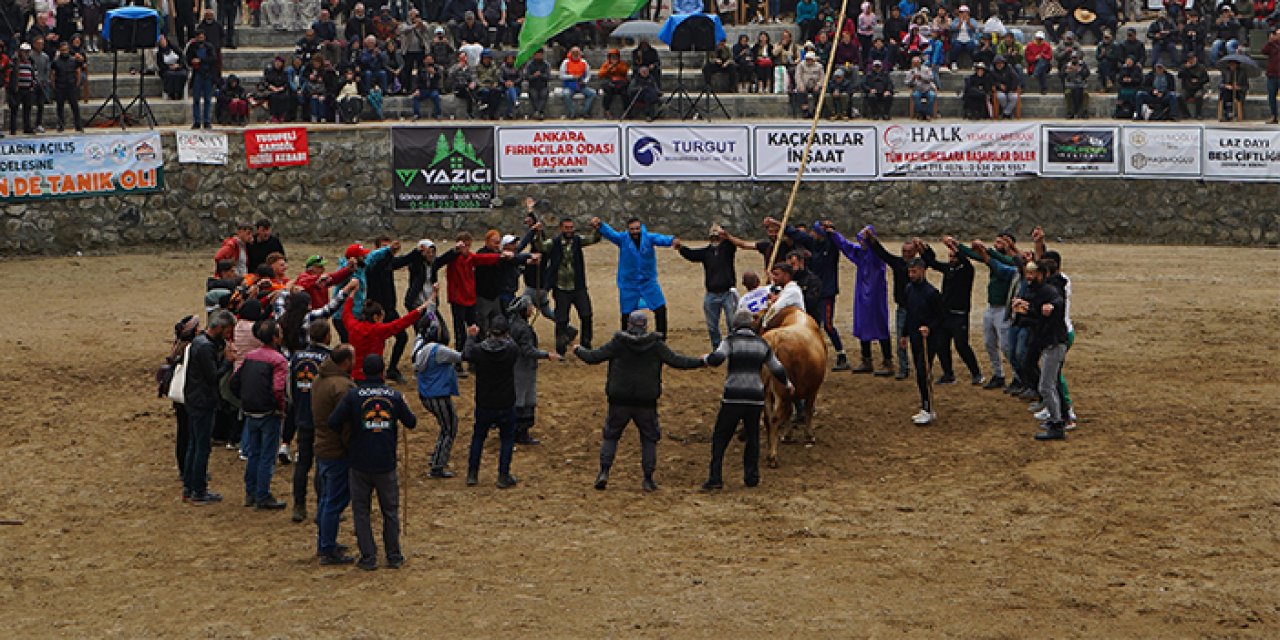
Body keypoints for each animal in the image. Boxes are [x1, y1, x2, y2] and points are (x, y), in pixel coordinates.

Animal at [757, 307, 829, 468]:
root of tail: (775, 342)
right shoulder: (813, 389)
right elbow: (808, 409)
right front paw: (809, 436)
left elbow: (790, 412)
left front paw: (787, 435)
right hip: (782, 393)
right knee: (775, 419)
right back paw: (773, 457)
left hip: (767, 393)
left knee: (768, 418)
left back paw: (769, 452)